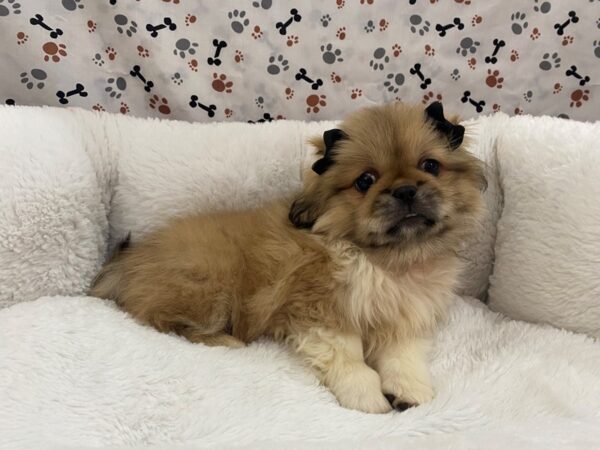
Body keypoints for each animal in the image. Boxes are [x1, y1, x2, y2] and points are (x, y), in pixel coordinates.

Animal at [94, 102, 488, 414]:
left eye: (431, 165)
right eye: (365, 181)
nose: (405, 190)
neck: (386, 262)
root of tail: (128, 262)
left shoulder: (404, 316)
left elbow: (402, 357)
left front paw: (409, 392)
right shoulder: (319, 310)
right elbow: (348, 358)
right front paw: (366, 396)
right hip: (208, 287)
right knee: (160, 319)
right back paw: (225, 341)